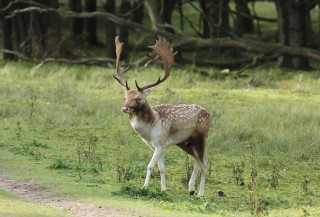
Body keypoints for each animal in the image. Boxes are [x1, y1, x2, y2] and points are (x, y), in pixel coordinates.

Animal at [114, 36, 211, 197]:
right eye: (124, 97)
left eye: (138, 98)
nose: (124, 108)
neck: (150, 128)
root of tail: (209, 114)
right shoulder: (157, 145)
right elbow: (162, 168)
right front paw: (163, 189)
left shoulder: (160, 143)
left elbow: (150, 166)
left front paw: (144, 187)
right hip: (185, 142)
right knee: (197, 159)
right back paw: (190, 189)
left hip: (201, 136)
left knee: (205, 161)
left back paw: (201, 193)